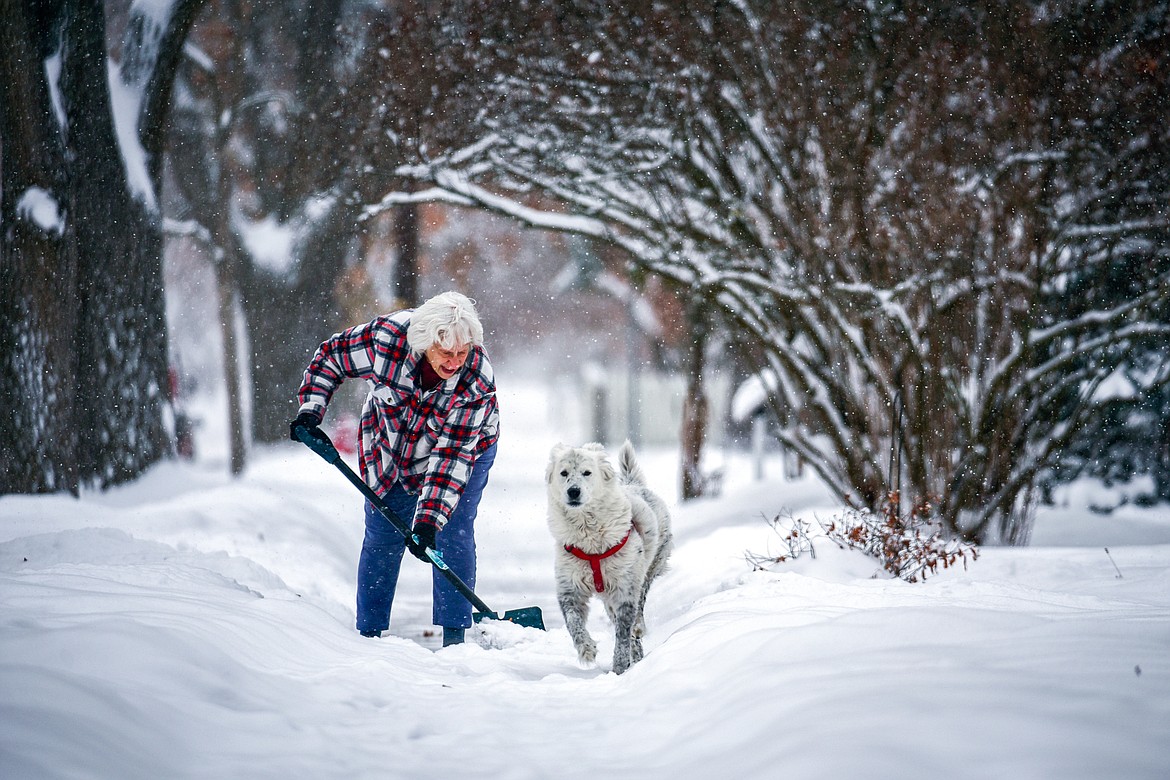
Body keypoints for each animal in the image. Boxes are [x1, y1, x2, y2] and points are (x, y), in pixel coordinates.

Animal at [542, 442, 673, 673]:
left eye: (587, 472)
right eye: (563, 473)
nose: (573, 491)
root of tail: (634, 484)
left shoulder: (624, 589)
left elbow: (622, 635)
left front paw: (619, 668)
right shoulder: (569, 587)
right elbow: (573, 622)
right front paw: (586, 650)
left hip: (650, 568)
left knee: (640, 604)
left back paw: (638, 631)